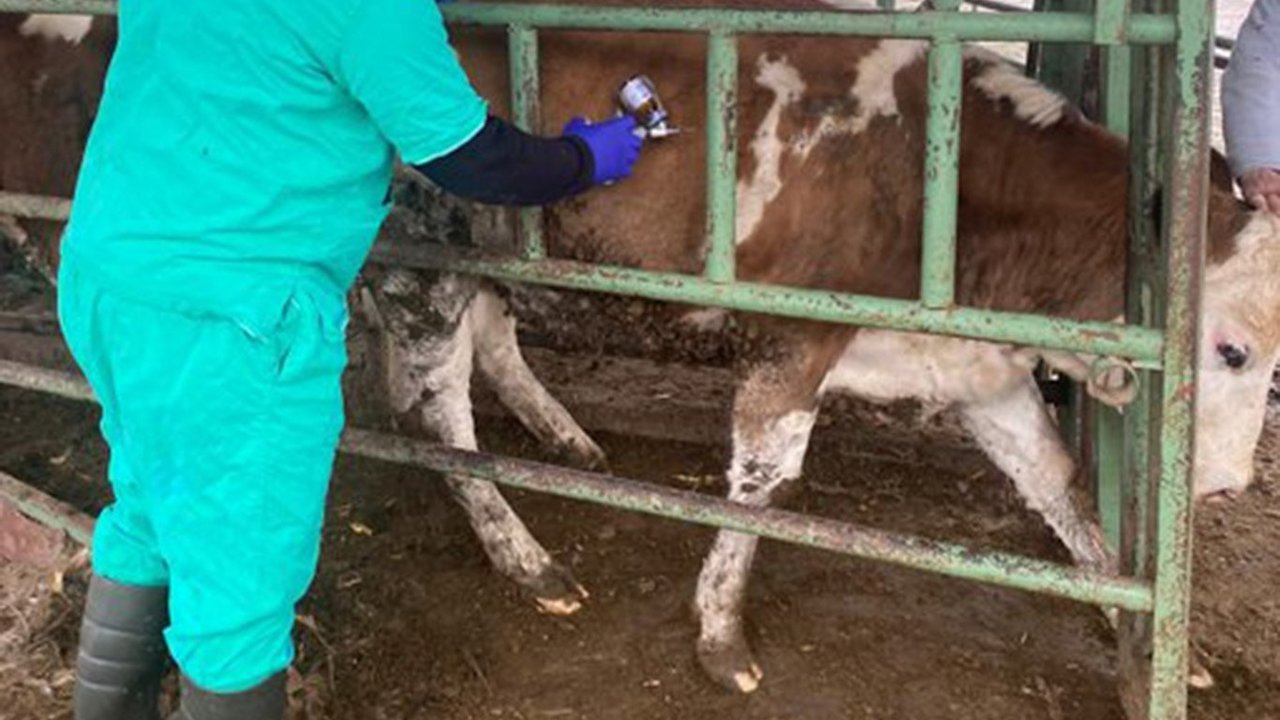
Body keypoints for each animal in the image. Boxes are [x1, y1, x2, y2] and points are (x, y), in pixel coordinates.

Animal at [5, 3, 1278, 695]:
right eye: (1224, 348)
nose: (1219, 485)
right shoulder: (792, 341)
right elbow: (764, 483)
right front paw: (719, 635)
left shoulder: (977, 367)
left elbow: (1053, 488)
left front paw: (1142, 631)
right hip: (423, 255)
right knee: (433, 408)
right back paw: (527, 558)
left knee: (479, 351)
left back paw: (565, 439)